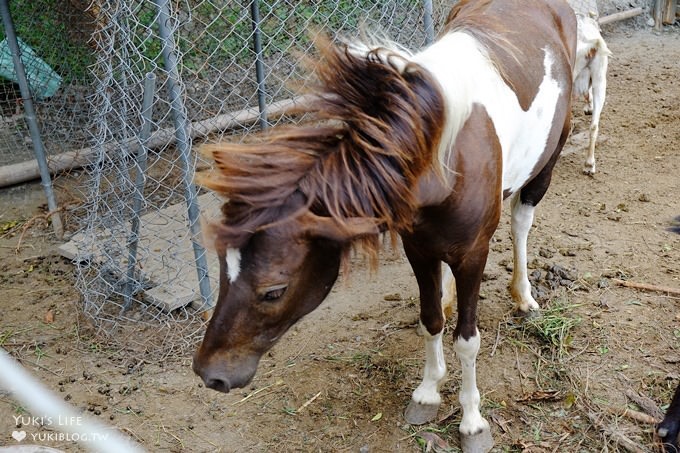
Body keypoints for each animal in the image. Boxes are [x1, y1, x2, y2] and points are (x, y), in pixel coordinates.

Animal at [194, 1, 576, 450]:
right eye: (222, 269)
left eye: (274, 291)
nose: (210, 374)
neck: (442, 160)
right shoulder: (418, 248)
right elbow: (431, 319)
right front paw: (428, 393)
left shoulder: (473, 255)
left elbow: (467, 340)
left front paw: (472, 421)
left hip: (546, 164)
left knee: (521, 223)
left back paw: (524, 294)